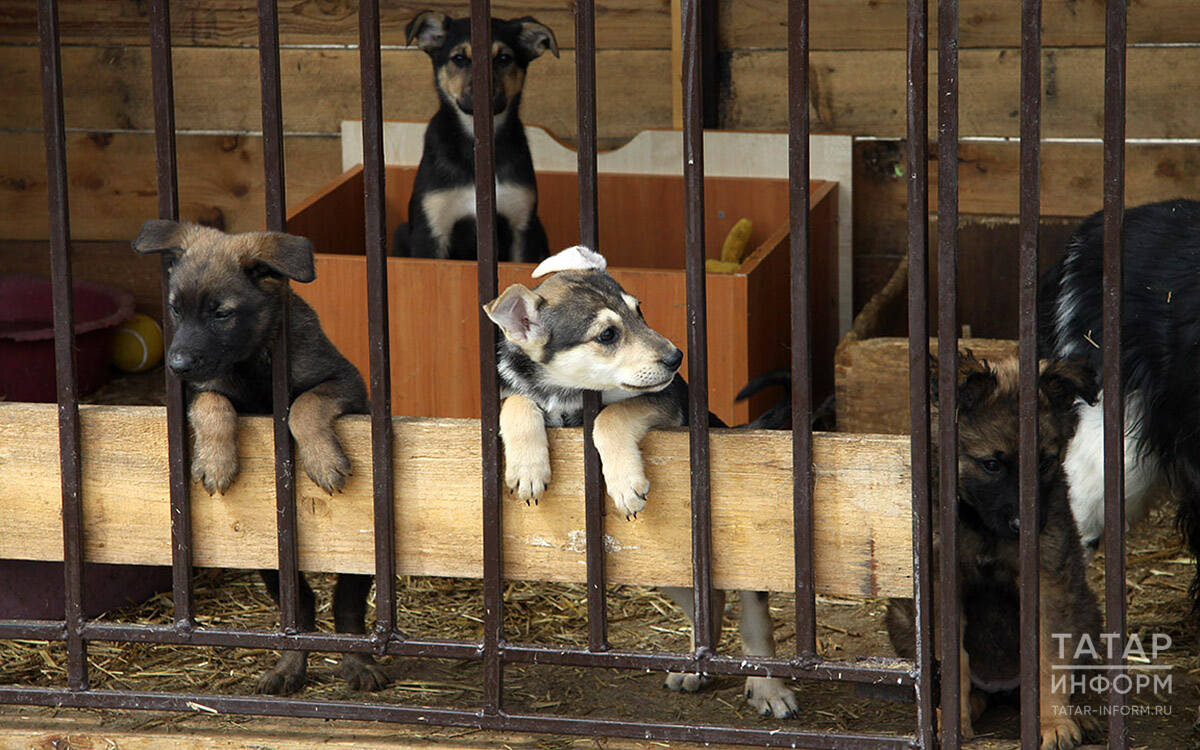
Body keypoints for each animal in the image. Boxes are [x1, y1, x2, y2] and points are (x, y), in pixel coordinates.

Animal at [132, 220, 387, 695]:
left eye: (221, 314)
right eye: (175, 309)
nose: (176, 365)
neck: (252, 362)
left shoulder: (344, 381)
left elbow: (303, 406)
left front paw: (322, 459)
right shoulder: (201, 390)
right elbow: (211, 403)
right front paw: (216, 462)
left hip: (360, 552)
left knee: (346, 606)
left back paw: (358, 662)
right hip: (269, 558)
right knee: (298, 609)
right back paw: (289, 666)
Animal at [394, 11, 556, 263]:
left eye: (504, 58)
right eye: (459, 58)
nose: (484, 93)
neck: (476, 144)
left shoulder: (523, 228)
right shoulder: (431, 230)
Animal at [483, 245, 798, 718]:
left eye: (640, 311)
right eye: (607, 335)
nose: (676, 358)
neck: (566, 396)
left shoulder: (665, 400)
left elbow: (612, 415)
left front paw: (625, 484)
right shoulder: (517, 396)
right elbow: (517, 402)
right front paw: (528, 468)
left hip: (746, 556)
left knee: (754, 619)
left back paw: (769, 689)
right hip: (667, 570)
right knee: (710, 603)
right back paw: (696, 667)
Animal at [885, 352, 1101, 748]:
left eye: (1045, 462)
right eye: (991, 464)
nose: (1024, 525)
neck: (984, 527)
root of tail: (1002, 684)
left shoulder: (1049, 582)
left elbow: (1050, 659)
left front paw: (1054, 723)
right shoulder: (943, 585)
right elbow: (955, 661)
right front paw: (952, 722)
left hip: (1086, 610)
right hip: (903, 618)